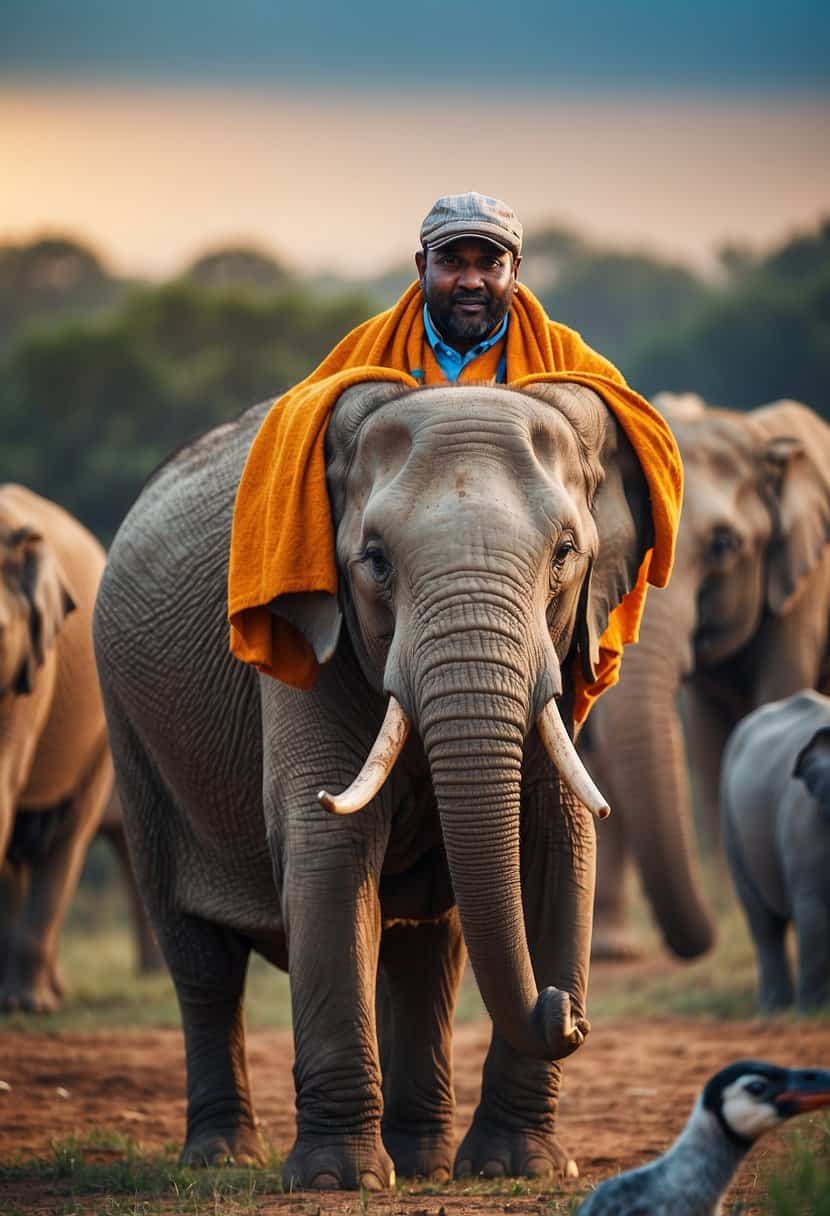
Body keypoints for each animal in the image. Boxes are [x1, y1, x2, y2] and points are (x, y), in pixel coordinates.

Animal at [92, 376, 661, 1186]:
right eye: (376, 561)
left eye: (564, 554)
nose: (567, 1011)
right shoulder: (303, 635)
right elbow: (329, 848)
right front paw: (336, 1180)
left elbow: (559, 844)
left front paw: (519, 1169)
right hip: (131, 732)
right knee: (200, 960)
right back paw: (221, 1158)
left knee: (424, 950)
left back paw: (422, 1163)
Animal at [580, 396, 830, 958]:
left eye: (722, 545)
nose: (708, 934)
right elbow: (706, 733)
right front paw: (734, 906)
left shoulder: (808, 585)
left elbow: (776, 692)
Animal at [719, 690, 830, 1011]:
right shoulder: (806, 816)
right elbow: (814, 912)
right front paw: (813, 1012)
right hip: (730, 825)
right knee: (764, 924)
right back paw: (775, 1009)